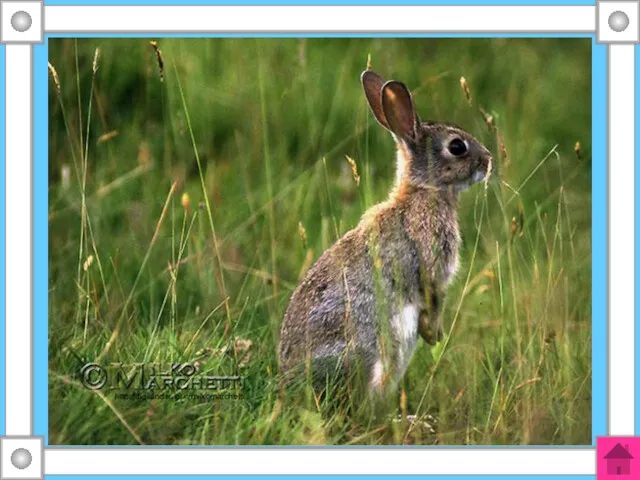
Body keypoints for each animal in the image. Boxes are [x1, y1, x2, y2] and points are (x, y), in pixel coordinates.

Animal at [278, 69, 492, 396]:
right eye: (457, 147)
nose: (489, 160)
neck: (424, 191)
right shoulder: (433, 264)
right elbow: (433, 296)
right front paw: (434, 334)